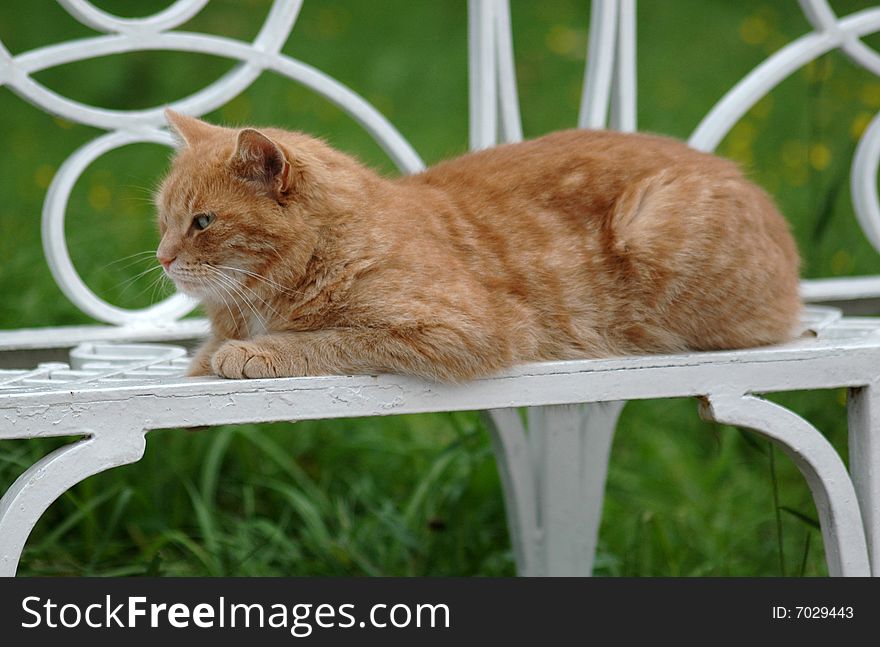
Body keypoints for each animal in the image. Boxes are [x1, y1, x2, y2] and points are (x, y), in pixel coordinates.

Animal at [155, 109, 800, 382]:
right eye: (163, 220)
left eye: (202, 221)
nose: (162, 257)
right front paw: (215, 351)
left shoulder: (464, 330)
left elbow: (334, 339)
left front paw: (254, 352)